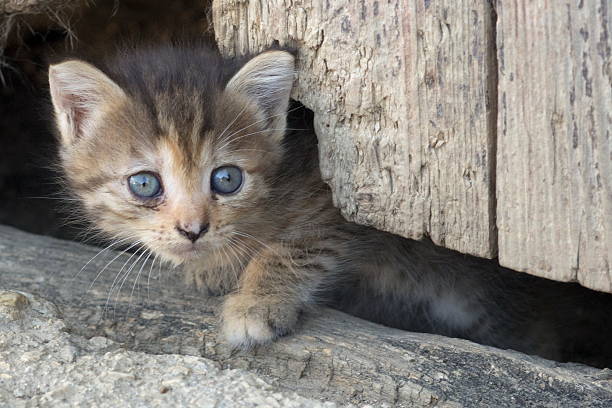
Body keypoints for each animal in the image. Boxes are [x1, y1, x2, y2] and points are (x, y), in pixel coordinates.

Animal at [50, 45, 612, 366]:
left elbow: (290, 249)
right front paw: (212, 267)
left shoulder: (338, 202)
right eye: (145, 184)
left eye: (226, 179)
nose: (193, 229)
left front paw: (255, 305)